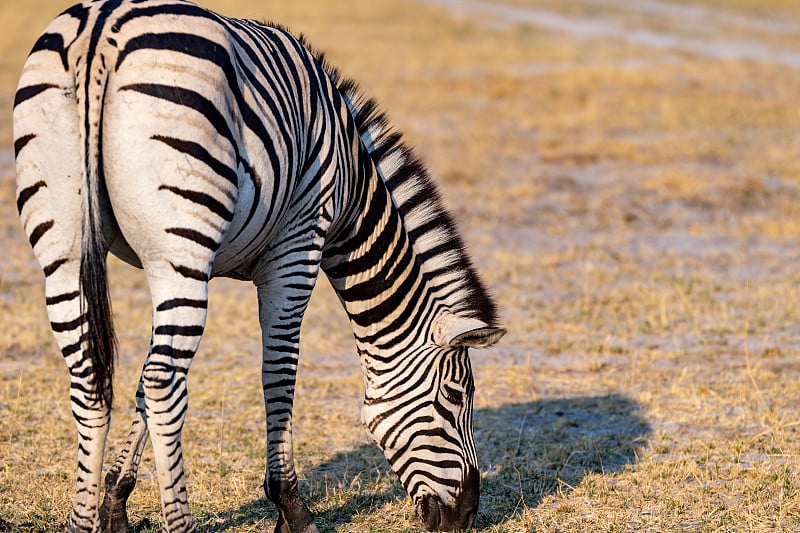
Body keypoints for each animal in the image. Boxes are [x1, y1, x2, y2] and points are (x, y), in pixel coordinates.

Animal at [14, 0, 506, 528]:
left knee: (94, 378)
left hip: (66, 248)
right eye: (455, 396)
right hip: (182, 247)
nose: (466, 516)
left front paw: (115, 505)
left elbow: (141, 385)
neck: (351, 187)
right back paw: (181, 524)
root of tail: (100, 29)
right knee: (166, 386)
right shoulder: (297, 246)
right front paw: (292, 508)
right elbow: (279, 371)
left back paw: (81, 521)